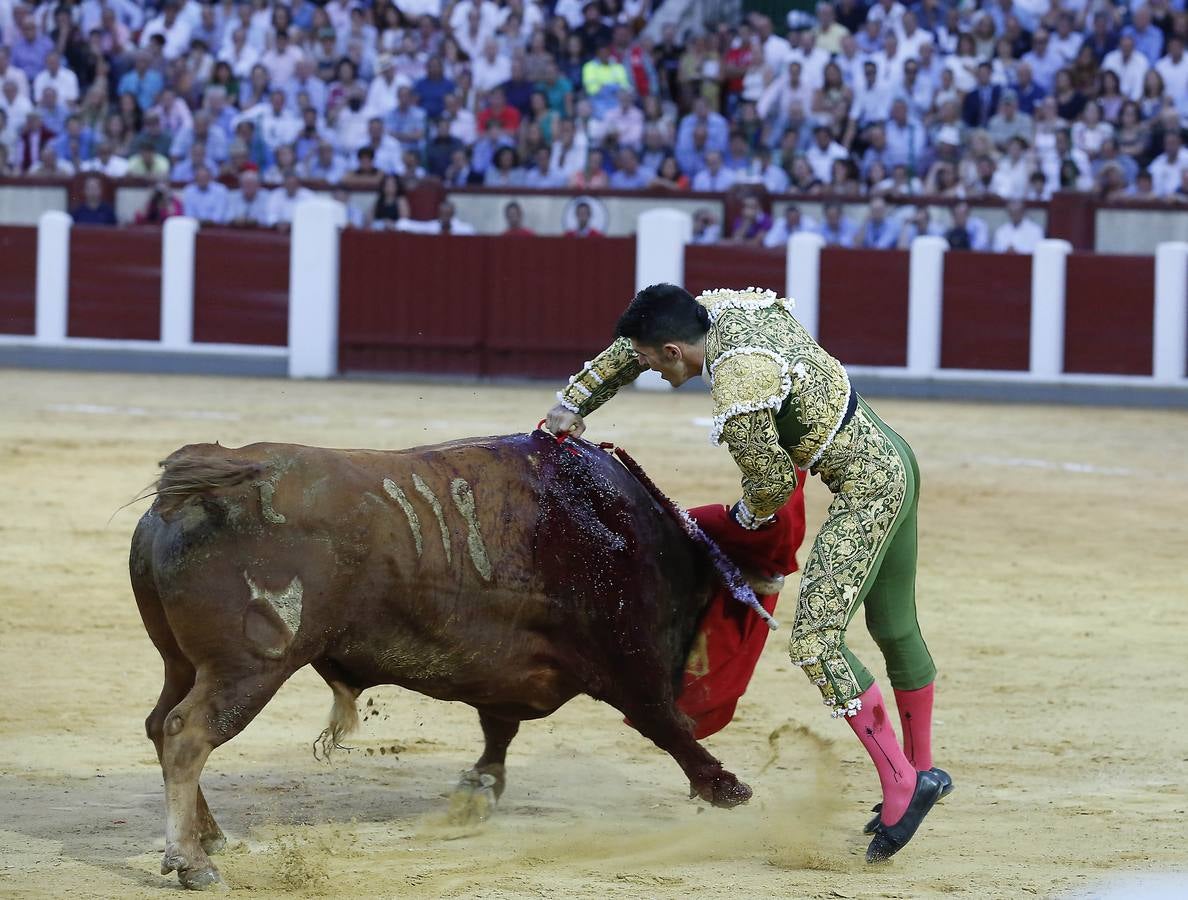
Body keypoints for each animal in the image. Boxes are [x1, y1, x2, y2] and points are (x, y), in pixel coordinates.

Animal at [130, 434, 760, 892]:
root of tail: (197, 491)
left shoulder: (508, 679)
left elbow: (498, 731)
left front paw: (477, 790)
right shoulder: (629, 661)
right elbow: (667, 725)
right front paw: (726, 788)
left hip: (180, 662)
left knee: (161, 725)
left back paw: (211, 838)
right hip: (248, 669)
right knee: (188, 734)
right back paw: (192, 862)